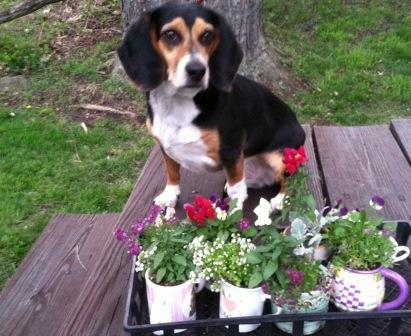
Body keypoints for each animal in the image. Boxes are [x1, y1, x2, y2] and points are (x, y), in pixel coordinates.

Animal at [118, 2, 306, 209]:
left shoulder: (231, 152)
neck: (178, 102)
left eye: (207, 35)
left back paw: (280, 199)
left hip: (280, 156)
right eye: (170, 34)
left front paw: (232, 212)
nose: (197, 70)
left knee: (289, 180)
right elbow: (172, 173)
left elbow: (236, 191)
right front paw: (169, 195)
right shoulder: (166, 149)